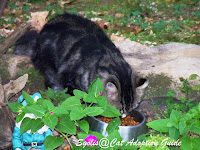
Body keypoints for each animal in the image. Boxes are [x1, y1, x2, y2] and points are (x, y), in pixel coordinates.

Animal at [14, 12, 148, 113]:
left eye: (131, 109)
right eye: (119, 110)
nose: (123, 116)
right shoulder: (68, 79)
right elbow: (77, 98)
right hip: (48, 66)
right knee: (51, 82)